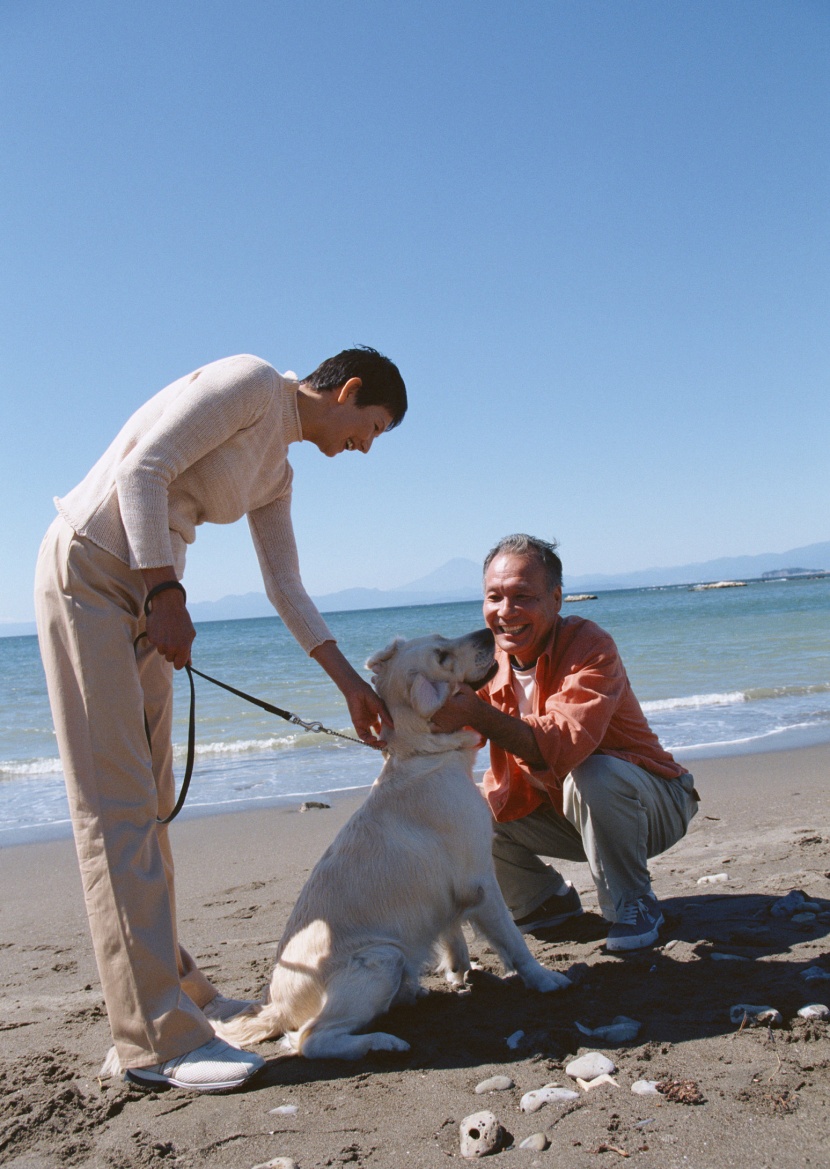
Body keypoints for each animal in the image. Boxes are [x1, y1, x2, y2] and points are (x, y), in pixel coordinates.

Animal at [216, 631, 572, 1061]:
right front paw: (544, 978)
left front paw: (460, 970)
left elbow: (452, 931)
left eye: (441, 638)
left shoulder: (450, 890)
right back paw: (381, 1041)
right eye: (442, 655)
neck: (426, 753)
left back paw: (411, 994)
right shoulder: (480, 880)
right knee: (310, 1040)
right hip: (382, 956)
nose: (487, 634)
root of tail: (277, 1007)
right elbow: (514, 940)